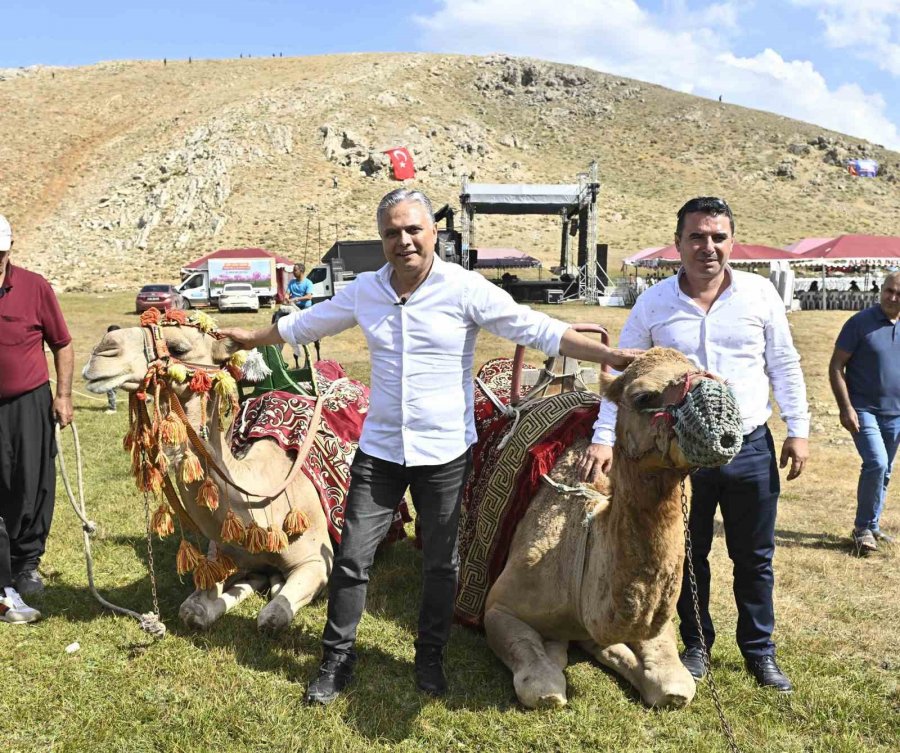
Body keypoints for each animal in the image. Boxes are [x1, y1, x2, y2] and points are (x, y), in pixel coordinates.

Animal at [81, 308, 394, 632]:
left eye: (179, 348)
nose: (102, 350)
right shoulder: (222, 555)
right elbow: (193, 611)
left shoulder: (317, 561)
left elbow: (271, 617)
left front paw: (270, 589)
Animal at [460, 344, 740, 708]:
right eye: (643, 396)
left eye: (721, 379)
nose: (723, 423)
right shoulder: (498, 608)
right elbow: (542, 685)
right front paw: (555, 656)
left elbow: (673, 685)